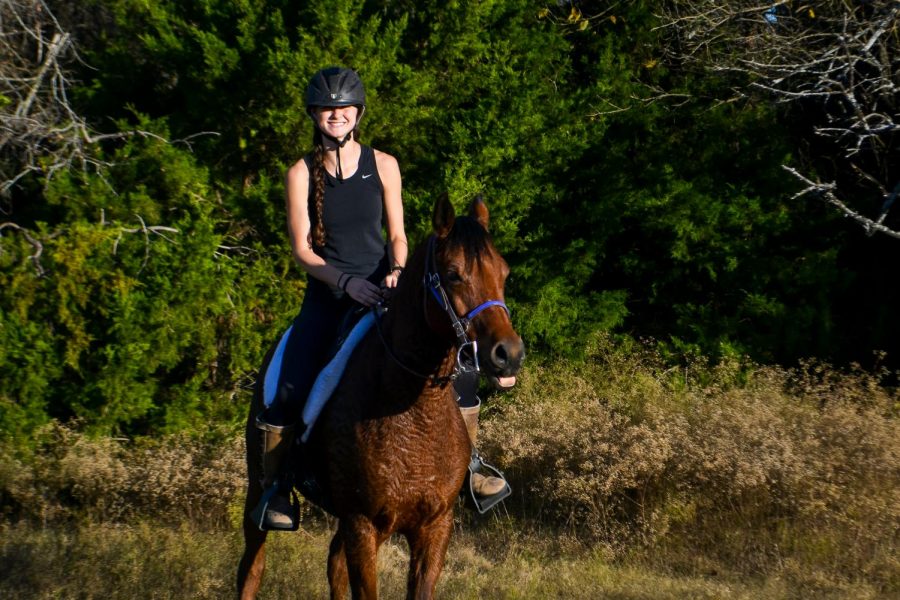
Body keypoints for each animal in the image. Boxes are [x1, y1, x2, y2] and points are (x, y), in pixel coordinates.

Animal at [236, 195, 524, 596]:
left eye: (504, 272)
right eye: (453, 274)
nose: (508, 354)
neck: (414, 407)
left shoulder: (434, 527)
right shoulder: (363, 525)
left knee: (335, 564)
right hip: (260, 489)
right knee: (252, 565)